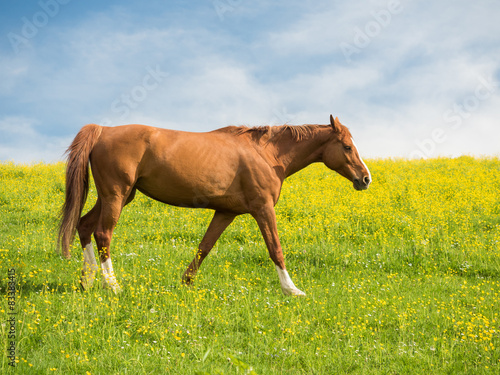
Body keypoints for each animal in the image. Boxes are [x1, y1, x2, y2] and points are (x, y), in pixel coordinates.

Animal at [57, 114, 372, 296]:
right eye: (347, 147)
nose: (365, 178)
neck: (266, 153)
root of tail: (103, 130)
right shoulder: (263, 209)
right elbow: (275, 249)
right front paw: (291, 289)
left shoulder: (225, 213)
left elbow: (204, 247)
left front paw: (186, 282)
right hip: (116, 196)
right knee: (102, 234)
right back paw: (113, 286)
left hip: (115, 196)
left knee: (84, 226)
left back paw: (87, 281)